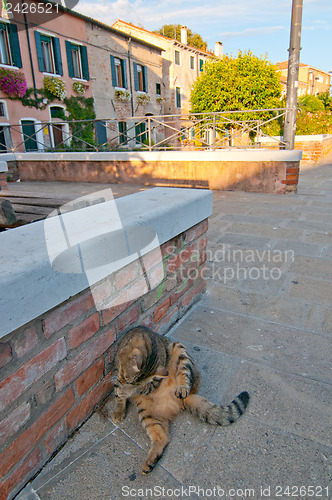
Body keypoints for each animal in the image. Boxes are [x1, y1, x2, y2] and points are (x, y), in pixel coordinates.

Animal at [111, 326, 249, 474]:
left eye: (126, 377)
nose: (121, 381)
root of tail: (178, 399)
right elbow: (119, 394)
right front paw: (118, 409)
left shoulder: (152, 381)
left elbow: (136, 388)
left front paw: (126, 391)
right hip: (147, 413)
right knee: (163, 438)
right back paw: (150, 462)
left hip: (179, 350)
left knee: (186, 376)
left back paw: (182, 388)